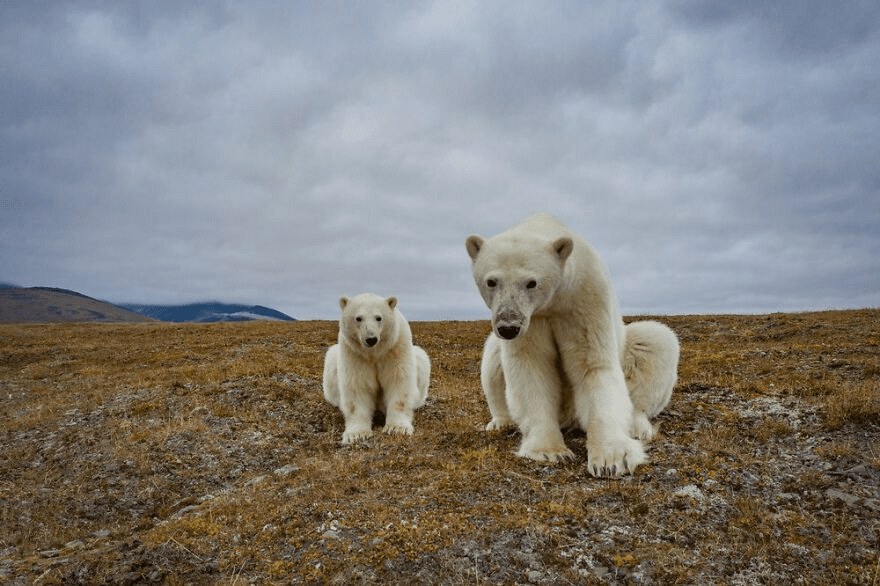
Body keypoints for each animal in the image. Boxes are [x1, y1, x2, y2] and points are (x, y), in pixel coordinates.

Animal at [324, 292, 432, 442]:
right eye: (358, 318)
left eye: (379, 317)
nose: (371, 339)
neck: (374, 353)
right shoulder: (354, 353)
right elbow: (357, 386)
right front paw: (357, 434)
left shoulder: (396, 347)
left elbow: (398, 381)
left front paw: (397, 428)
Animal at [468, 212, 680, 476]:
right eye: (491, 281)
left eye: (531, 282)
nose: (508, 327)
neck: (554, 303)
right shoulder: (534, 321)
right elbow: (531, 368)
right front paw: (549, 451)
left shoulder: (584, 299)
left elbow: (592, 366)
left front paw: (612, 458)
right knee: (493, 359)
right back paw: (500, 422)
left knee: (655, 341)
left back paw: (638, 425)